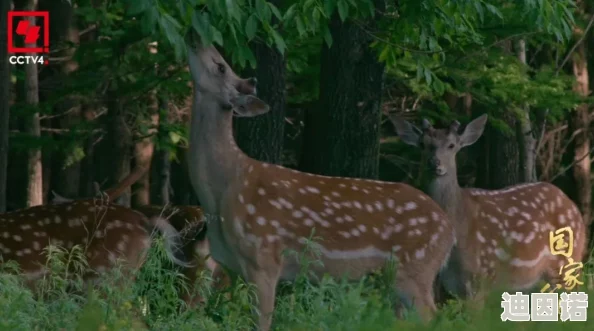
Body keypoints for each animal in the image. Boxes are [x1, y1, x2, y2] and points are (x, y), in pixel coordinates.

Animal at [187, 37, 456, 331]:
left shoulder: (265, 257)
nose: (195, 37)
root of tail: (448, 230)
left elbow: (263, 322)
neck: (222, 192)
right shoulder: (230, 266)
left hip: (415, 267)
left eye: (221, 66)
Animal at [388, 115, 588, 302]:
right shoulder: (454, 284)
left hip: (567, 262)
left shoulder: (481, 277)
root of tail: (574, 207)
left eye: (452, 145)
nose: (434, 163)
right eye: (423, 144)